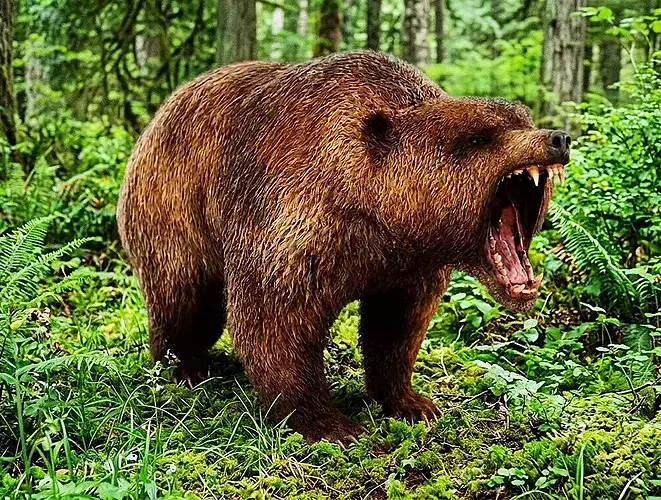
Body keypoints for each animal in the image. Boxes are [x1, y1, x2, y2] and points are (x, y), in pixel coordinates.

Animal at [116, 50, 570, 443]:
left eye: (521, 116)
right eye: (480, 135)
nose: (558, 138)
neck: (379, 213)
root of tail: (155, 118)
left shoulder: (409, 265)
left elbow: (397, 329)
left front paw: (414, 403)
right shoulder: (298, 223)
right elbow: (274, 322)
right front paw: (332, 424)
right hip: (172, 206)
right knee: (184, 298)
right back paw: (182, 368)